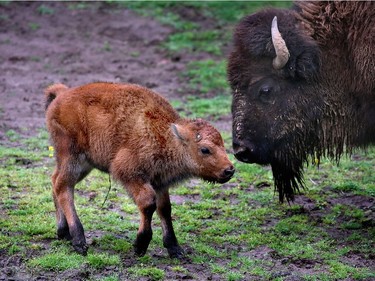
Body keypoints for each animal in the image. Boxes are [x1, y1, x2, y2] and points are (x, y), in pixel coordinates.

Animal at [44, 81, 235, 256]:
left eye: (222, 144)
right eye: (205, 149)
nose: (229, 170)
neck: (166, 135)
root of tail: (62, 94)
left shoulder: (160, 182)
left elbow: (165, 209)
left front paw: (175, 249)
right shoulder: (130, 173)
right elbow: (148, 203)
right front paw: (140, 246)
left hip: (83, 165)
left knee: (56, 181)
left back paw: (63, 233)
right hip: (72, 158)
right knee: (63, 187)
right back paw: (79, 241)